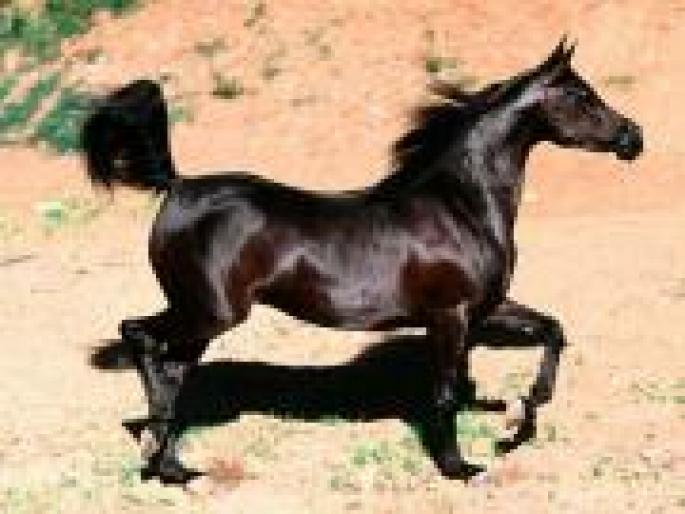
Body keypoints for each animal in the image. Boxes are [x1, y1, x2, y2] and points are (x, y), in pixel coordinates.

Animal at [81, 38, 643, 484]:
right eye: (582, 95)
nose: (633, 138)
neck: (460, 205)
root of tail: (177, 187)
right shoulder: (450, 314)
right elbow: (445, 393)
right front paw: (460, 467)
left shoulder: (484, 307)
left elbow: (551, 331)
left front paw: (517, 419)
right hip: (209, 311)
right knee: (139, 336)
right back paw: (158, 454)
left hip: (201, 317)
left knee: (171, 368)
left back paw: (173, 467)